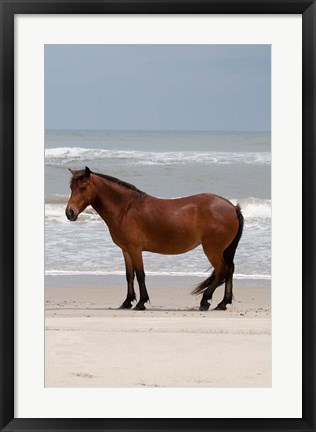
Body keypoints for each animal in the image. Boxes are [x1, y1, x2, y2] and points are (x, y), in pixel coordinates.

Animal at [65, 165, 244, 310]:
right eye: (71, 187)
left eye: (83, 187)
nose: (70, 213)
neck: (125, 208)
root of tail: (232, 207)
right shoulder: (126, 250)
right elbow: (129, 276)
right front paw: (127, 302)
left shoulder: (135, 249)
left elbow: (140, 274)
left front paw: (141, 303)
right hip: (225, 250)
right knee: (230, 270)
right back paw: (223, 303)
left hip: (212, 250)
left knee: (222, 271)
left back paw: (205, 301)